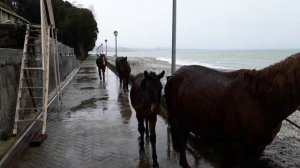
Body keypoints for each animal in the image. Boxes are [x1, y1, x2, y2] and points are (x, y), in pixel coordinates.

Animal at [165, 52, 300, 167]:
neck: (260, 101)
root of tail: (175, 74)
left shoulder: (258, 148)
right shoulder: (233, 145)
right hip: (178, 117)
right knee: (181, 139)